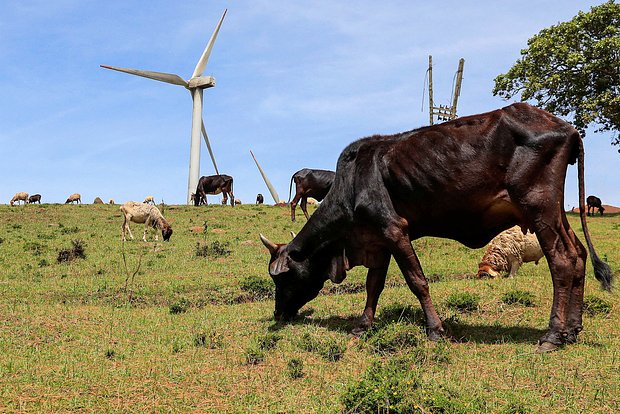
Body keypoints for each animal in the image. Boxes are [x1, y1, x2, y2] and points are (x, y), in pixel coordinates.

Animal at [260, 102, 612, 352]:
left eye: (283, 278)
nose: (278, 314)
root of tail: (566, 128)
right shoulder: (378, 241)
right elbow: (374, 286)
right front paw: (362, 325)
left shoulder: (394, 230)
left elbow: (417, 281)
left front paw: (435, 330)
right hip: (554, 212)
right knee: (579, 255)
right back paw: (572, 330)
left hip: (539, 208)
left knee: (563, 260)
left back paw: (553, 335)